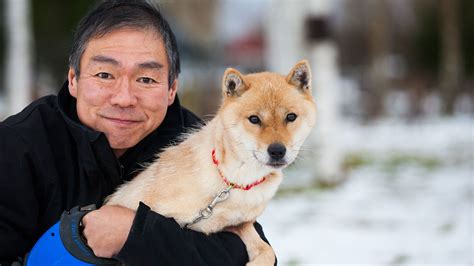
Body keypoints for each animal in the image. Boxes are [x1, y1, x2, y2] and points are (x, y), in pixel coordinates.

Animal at [105, 60, 316, 266]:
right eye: (254, 119)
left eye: (290, 117)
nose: (277, 151)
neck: (233, 181)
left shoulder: (237, 225)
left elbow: (267, 251)